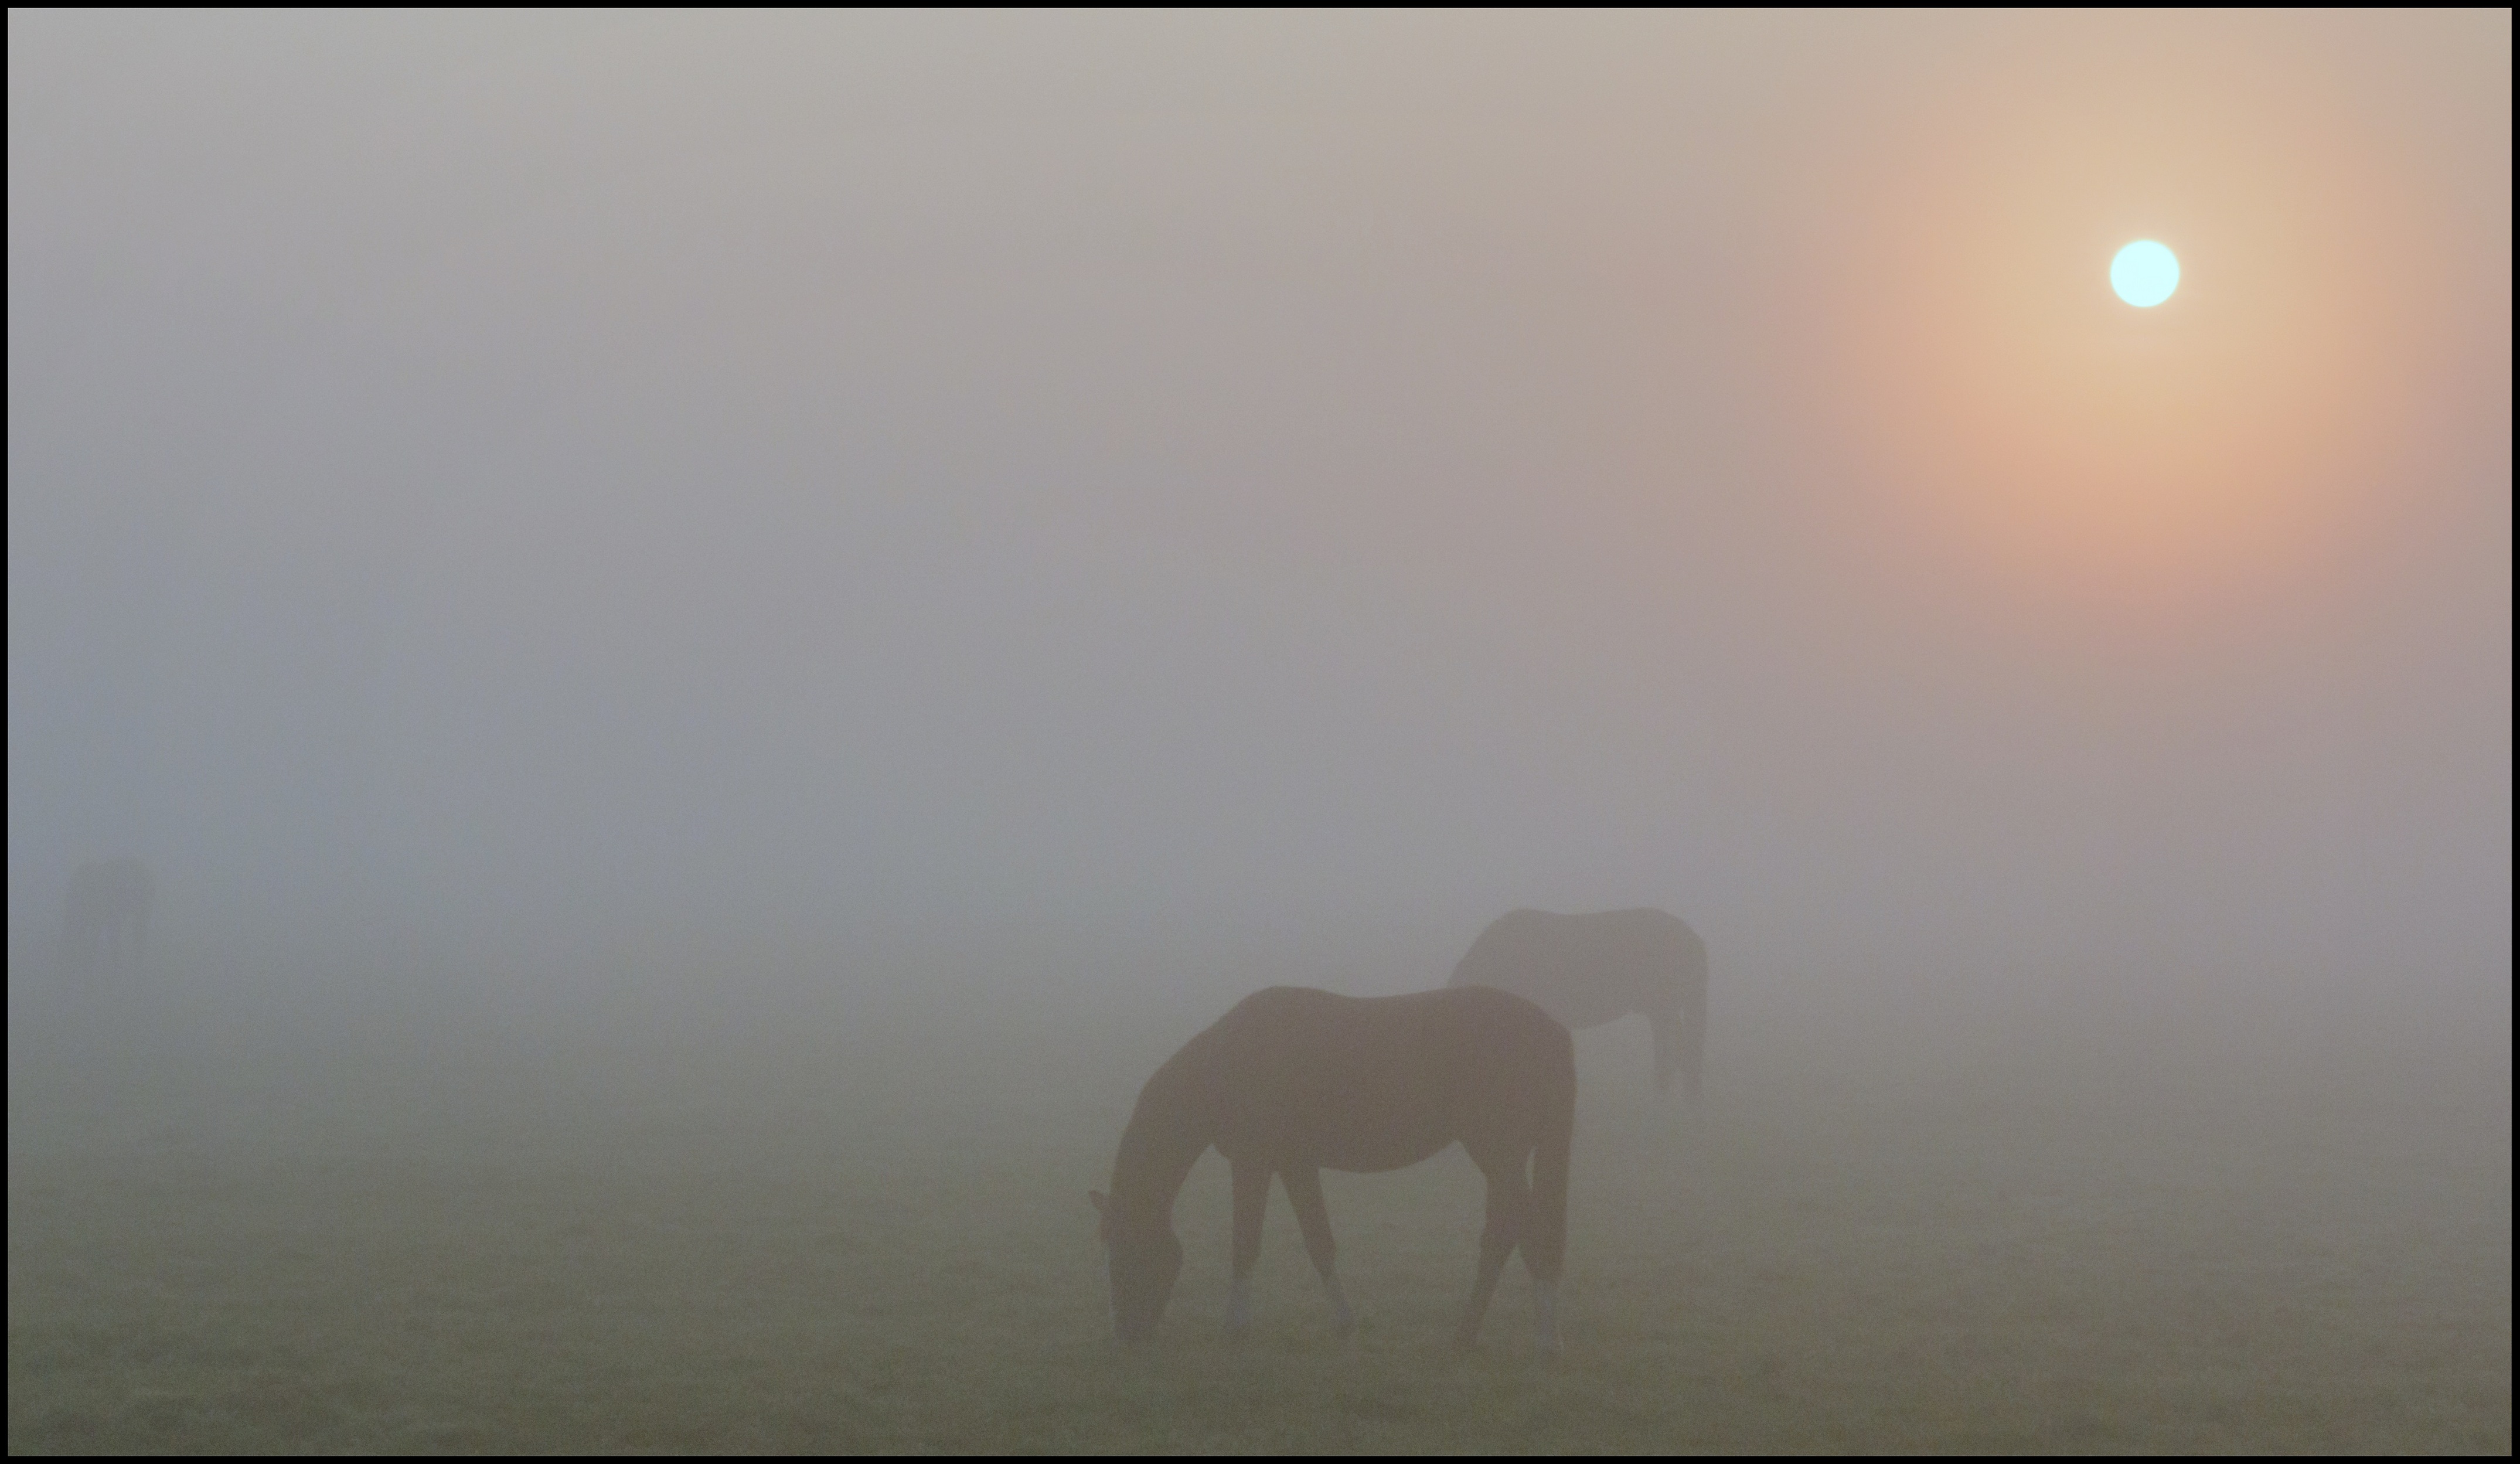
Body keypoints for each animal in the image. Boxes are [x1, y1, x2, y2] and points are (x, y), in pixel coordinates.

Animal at [1091, 984, 1575, 1352]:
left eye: (1124, 1250)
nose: (1125, 1337)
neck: (1225, 1065)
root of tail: (1552, 1031)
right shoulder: (1295, 1163)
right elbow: (1319, 1242)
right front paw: (1345, 1323)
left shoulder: (1252, 1162)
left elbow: (1244, 1244)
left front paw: (1235, 1328)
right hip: (1502, 1160)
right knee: (1504, 1235)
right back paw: (1468, 1335)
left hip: (1498, 1155)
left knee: (1527, 1233)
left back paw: (1544, 1340)